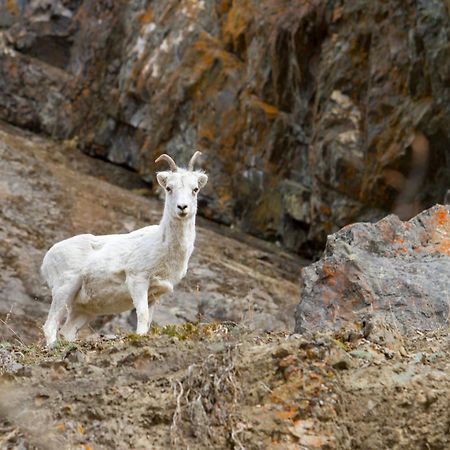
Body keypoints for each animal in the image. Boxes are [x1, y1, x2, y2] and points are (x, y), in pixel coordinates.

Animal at [41, 152, 207, 348]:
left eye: (195, 189)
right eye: (168, 188)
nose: (182, 208)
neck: (162, 248)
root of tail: (47, 259)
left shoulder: (154, 295)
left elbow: (148, 320)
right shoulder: (138, 281)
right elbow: (142, 315)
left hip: (84, 309)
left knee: (67, 331)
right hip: (64, 289)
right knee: (50, 325)